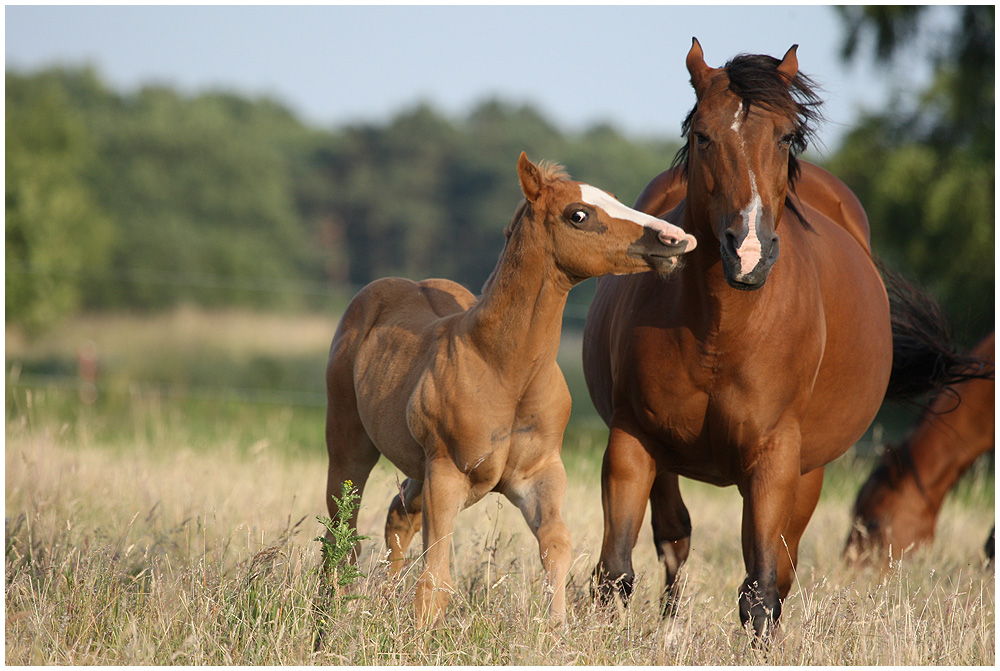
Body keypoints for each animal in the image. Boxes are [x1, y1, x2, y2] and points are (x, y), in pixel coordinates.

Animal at [324, 152, 692, 632]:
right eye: (578, 214)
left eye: (614, 198)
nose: (675, 239)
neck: (505, 370)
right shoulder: (447, 472)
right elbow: (436, 572)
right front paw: (420, 636)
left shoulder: (538, 474)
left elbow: (557, 545)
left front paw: (557, 631)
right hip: (350, 443)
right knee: (342, 531)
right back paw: (329, 607)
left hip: (423, 469)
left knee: (399, 513)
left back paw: (383, 599)